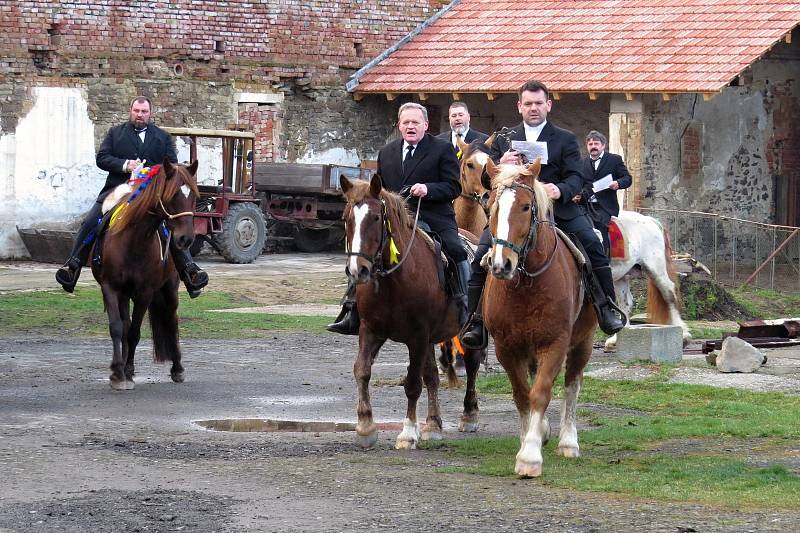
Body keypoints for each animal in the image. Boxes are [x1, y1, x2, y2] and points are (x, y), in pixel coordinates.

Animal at [92, 159, 200, 390]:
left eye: (194, 196)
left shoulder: (145, 293)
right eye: (172, 195)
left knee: (171, 320)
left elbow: (134, 333)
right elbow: (118, 328)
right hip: (125, 294)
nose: (186, 239)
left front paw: (126, 371)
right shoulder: (111, 287)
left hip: (169, 289)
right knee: (125, 325)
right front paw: (118, 372)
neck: (134, 240)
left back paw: (177, 368)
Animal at [340, 175, 482, 448]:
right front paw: (365, 427)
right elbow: (362, 370)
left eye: (376, 217)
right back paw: (433, 424)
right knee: (433, 376)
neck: (393, 281)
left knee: (471, 366)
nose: (357, 270)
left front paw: (407, 433)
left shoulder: (417, 335)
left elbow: (413, 383)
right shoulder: (371, 329)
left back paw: (469, 415)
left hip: (467, 330)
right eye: (346, 218)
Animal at [482, 159, 592, 478]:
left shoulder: (555, 343)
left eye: (525, 207)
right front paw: (528, 438)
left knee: (572, 384)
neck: (526, 284)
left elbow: (541, 392)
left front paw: (529, 457)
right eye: (490, 205)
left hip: (584, 340)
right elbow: (522, 394)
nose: (501, 265)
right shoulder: (506, 347)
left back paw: (568, 442)